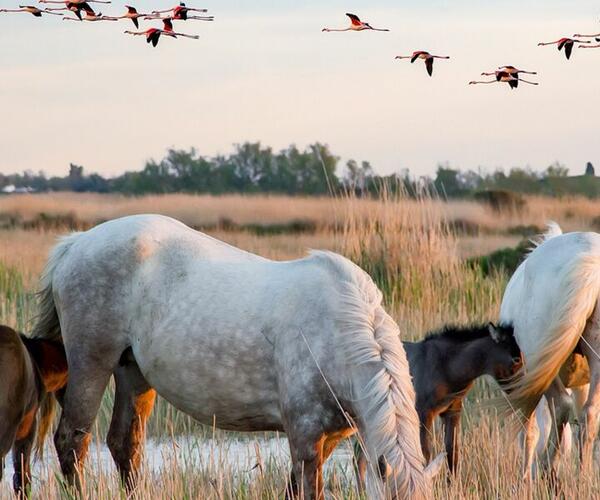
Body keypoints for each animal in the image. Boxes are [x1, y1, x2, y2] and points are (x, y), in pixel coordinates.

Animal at [34, 215, 446, 500]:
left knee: (125, 446)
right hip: (91, 363)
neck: (339, 328)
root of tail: (76, 242)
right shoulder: (304, 435)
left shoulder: (329, 437)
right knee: (72, 442)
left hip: (133, 373)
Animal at [356, 322, 520, 482]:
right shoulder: (423, 413)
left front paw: (452, 485)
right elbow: (425, 453)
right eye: (515, 360)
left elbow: (452, 451)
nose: (521, 392)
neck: (446, 368)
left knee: (361, 457)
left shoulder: (452, 412)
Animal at [500, 225, 600, 478]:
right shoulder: (581, 383)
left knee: (561, 406)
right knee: (589, 415)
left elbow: (529, 432)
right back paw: (582, 476)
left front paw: (525, 477)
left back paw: (548, 467)